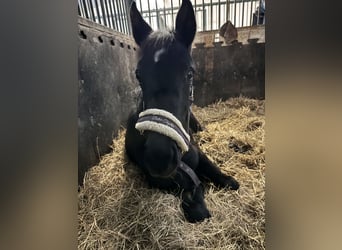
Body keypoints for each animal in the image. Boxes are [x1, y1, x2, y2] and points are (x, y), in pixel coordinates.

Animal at [124, 0, 239, 223]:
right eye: (139, 75)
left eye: (189, 73)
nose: (159, 158)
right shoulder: (157, 178)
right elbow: (191, 189)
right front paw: (197, 204)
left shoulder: (198, 152)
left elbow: (217, 172)